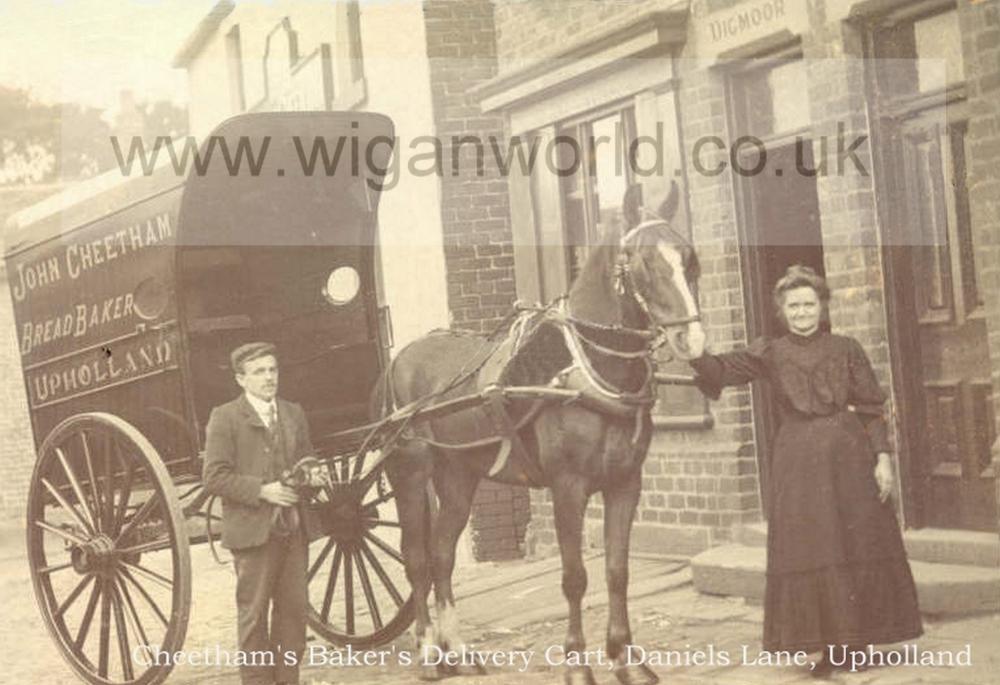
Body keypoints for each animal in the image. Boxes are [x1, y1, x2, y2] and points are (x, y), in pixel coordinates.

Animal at [372, 183, 708, 684]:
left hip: (458, 476)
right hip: (410, 474)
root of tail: (400, 357)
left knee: (441, 555)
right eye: (643, 261)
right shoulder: (568, 488)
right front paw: (577, 666)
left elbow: (617, 571)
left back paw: (460, 650)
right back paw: (429, 652)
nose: (694, 340)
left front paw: (627, 660)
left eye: (688, 256)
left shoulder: (626, 483)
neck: (586, 369)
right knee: (415, 558)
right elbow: (575, 578)